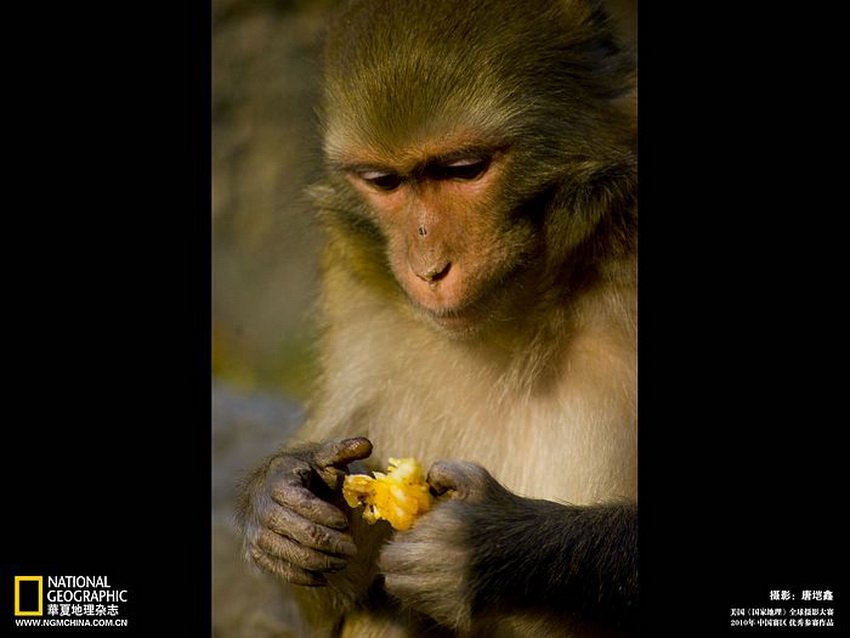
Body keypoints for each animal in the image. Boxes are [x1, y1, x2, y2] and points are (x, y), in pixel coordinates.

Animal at [235, 0, 632, 636]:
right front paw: (282, 498)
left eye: (464, 170)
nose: (427, 267)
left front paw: (486, 545)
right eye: (384, 181)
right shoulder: (354, 284)